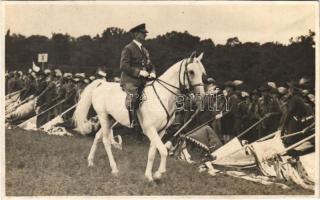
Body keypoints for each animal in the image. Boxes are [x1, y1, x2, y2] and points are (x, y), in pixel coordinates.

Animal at [74, 52, 206, 181]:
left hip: (111, 119)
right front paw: (158, 173)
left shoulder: (160, 131)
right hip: (103, 116)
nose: (202, 95)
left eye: (202, 72)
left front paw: (148, 176)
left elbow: (152, 153)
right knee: (106, 141)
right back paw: (114, 169)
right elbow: (163, 151)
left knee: (97, 136)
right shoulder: (150, 129)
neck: (163, 95)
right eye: (191, 72)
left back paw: (90, 162)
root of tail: (101, 83)